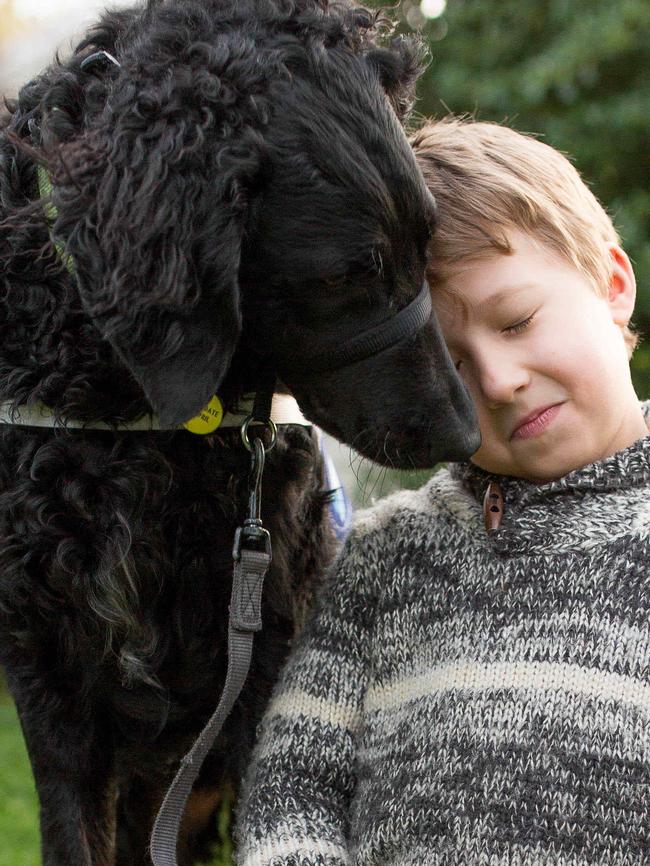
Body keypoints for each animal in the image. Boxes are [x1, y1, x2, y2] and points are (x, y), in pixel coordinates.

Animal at [0, 3, 476, 860]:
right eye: (344, 275)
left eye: (430, 241)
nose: (467, 435)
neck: (133, 427)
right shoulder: (46, 671)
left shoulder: (271, 649)